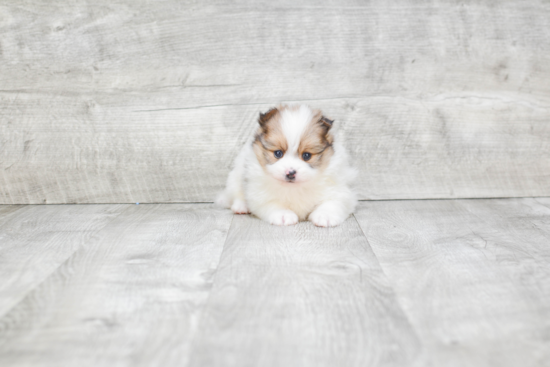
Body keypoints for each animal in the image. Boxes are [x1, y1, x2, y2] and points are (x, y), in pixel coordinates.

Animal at [218, 104, 360, 227]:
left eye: (306, 156)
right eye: (278, 153)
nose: (290, 172)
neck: (294, 188)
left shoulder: (340, 190)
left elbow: (332, 202)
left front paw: (325, 216)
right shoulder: (259, 194)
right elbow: (273, 203)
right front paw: (283, 215)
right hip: (236, 175)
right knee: (237, 193)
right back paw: (241, 207)